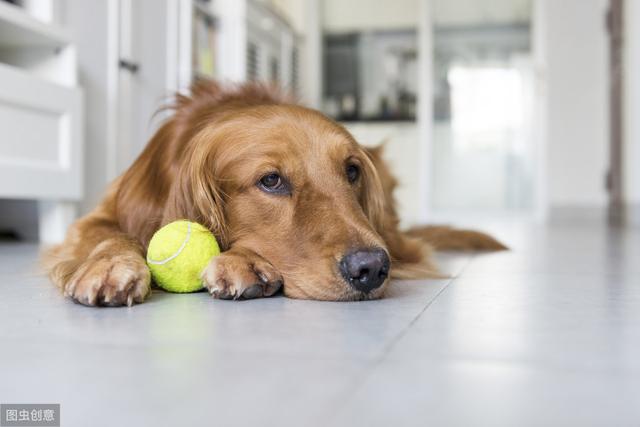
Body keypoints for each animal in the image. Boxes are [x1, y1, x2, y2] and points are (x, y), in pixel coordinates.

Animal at [43, 81, 504, 308]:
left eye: (352, 171)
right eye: (271, 181)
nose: (371, 268)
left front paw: (244, 261)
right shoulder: (103, 214)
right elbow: (108, 234)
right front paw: (109, 265)